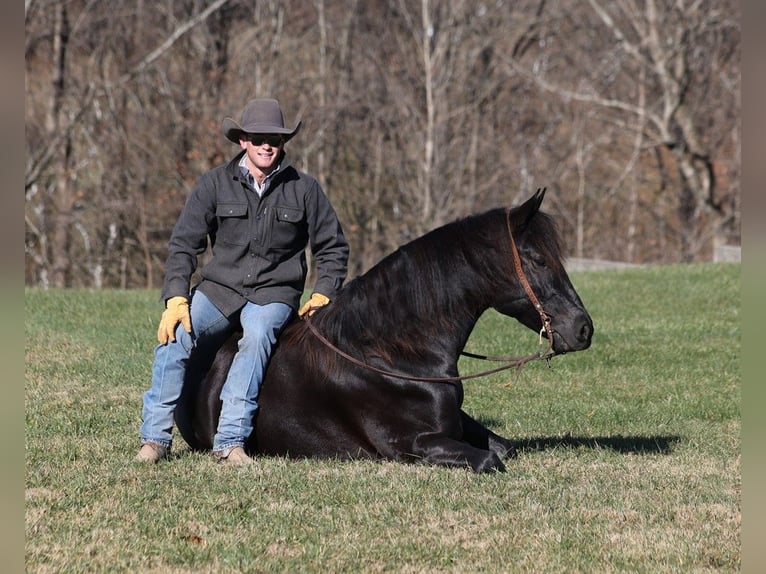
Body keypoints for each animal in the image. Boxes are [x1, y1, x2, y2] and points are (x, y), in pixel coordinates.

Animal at [174, 191, 592, 474]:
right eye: (538, 260)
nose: (583, 328)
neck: (393, 355)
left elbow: (505, 448)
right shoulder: (410, 445)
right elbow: (490, 460)